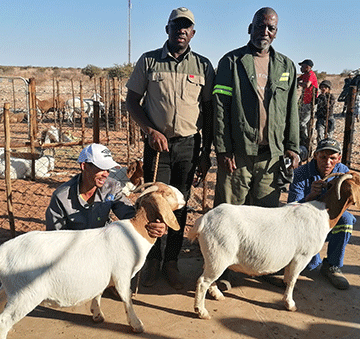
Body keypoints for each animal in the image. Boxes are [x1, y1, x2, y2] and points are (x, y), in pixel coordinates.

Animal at [0, 183, 186, 338]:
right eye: (168, 193)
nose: (184, 197)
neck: (135, 233)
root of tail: (4, 250)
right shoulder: (122, 274)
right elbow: (127, 299)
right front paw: (137, 325)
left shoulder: (103, 275)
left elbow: (98, 292)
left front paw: (97, 314)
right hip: (25, 293)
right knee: (4, 321)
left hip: (10, 289)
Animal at [188, 174, 360, 320]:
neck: (323, 213)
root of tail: (203, 220)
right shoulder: (302, 256)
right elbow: (293, 280)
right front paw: (290, 304)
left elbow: (288, 278)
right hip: (220, 255)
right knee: (203, 281)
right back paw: (202, 312)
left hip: (212, 255)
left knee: (207, 276)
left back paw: (217, 295)